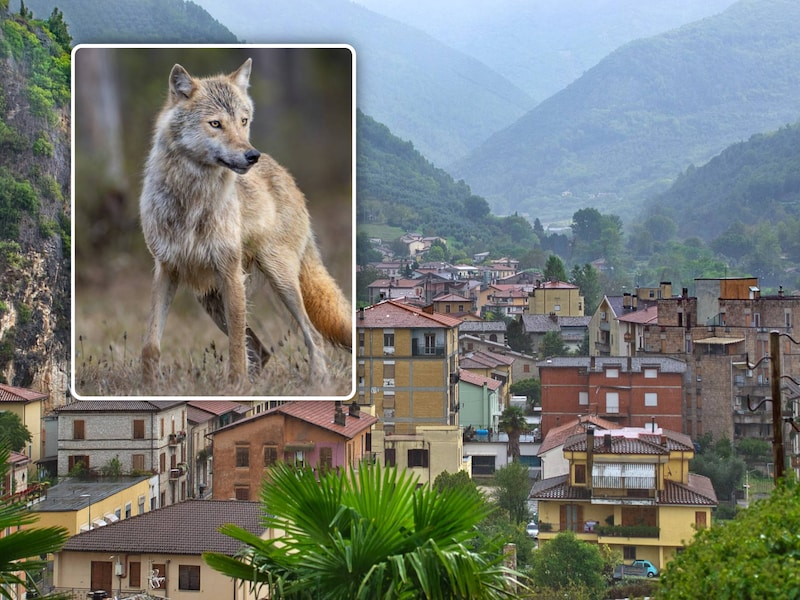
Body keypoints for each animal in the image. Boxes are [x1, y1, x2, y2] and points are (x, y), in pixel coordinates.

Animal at [139, 58, 352, 388]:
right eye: (215, 124)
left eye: (243, 120)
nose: (252, 155)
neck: (192, 200)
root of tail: (287, 176)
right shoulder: (165, 270)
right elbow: (151, 343)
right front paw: (147, 388)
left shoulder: (230, 273)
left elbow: (237, 346)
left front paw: (236, 385)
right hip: (210, 300)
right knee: (263, 352)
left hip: (280, 280)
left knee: (312, 336)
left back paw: (318, 384)